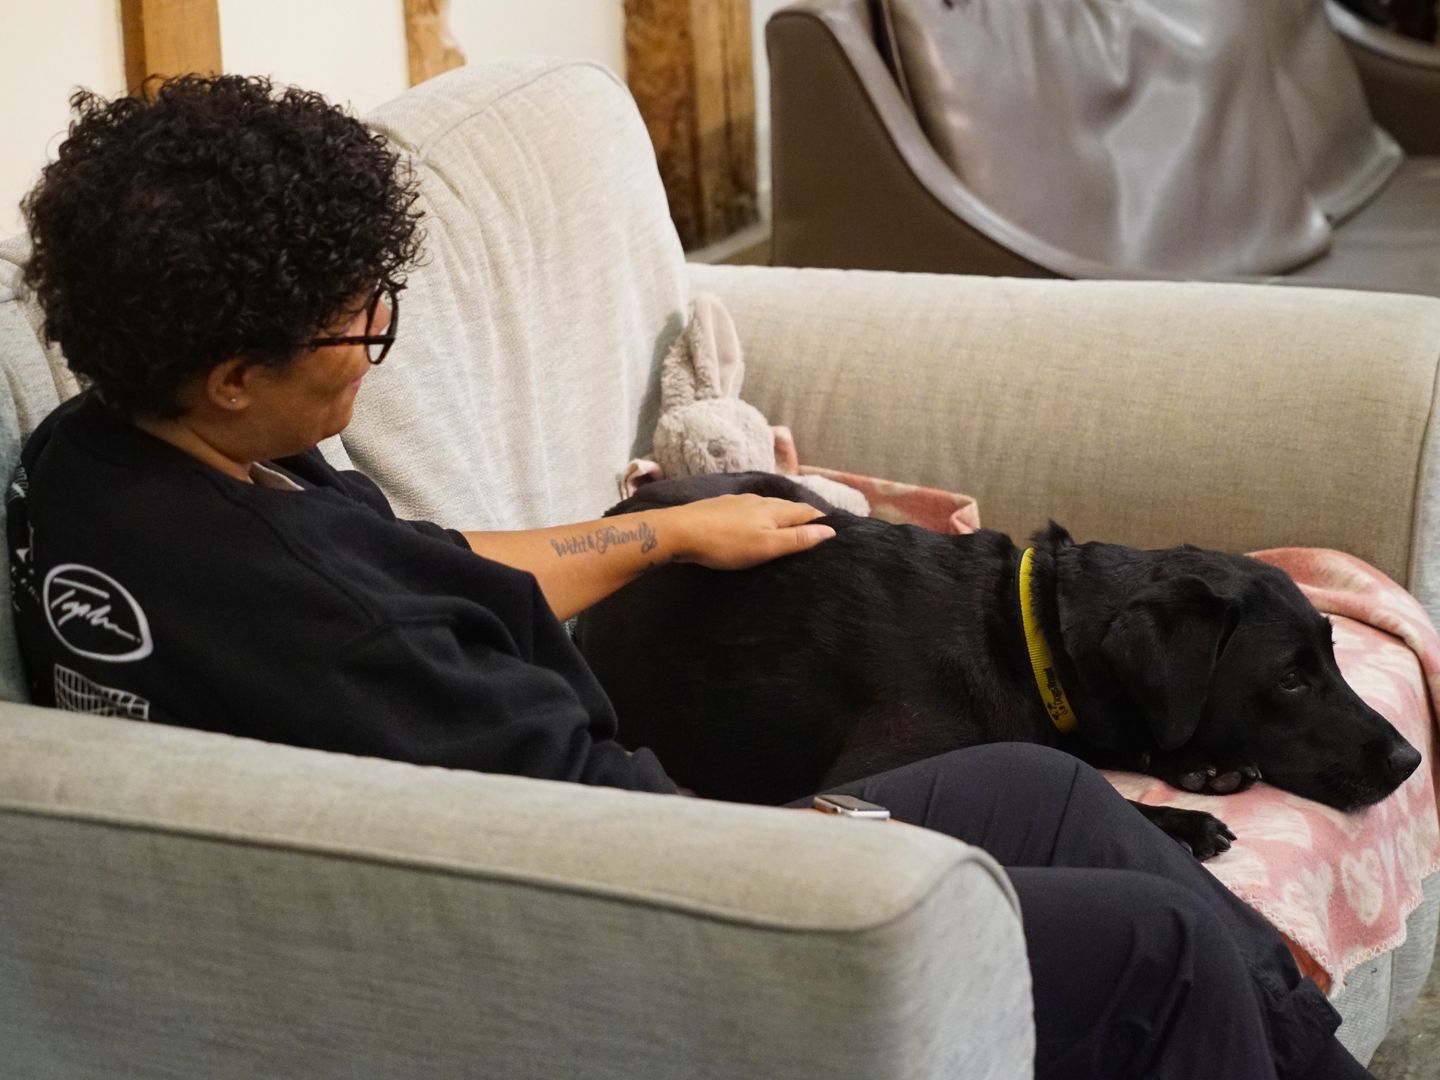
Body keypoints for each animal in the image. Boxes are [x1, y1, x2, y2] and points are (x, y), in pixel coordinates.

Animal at [578, 472, 1422, 864]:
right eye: (1290, 679)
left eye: (1333, 656)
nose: (1411, 759)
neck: (1028, 640)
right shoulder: (861, 783)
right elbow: (1077, 782)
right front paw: (1180, 820)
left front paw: (1201, 767)